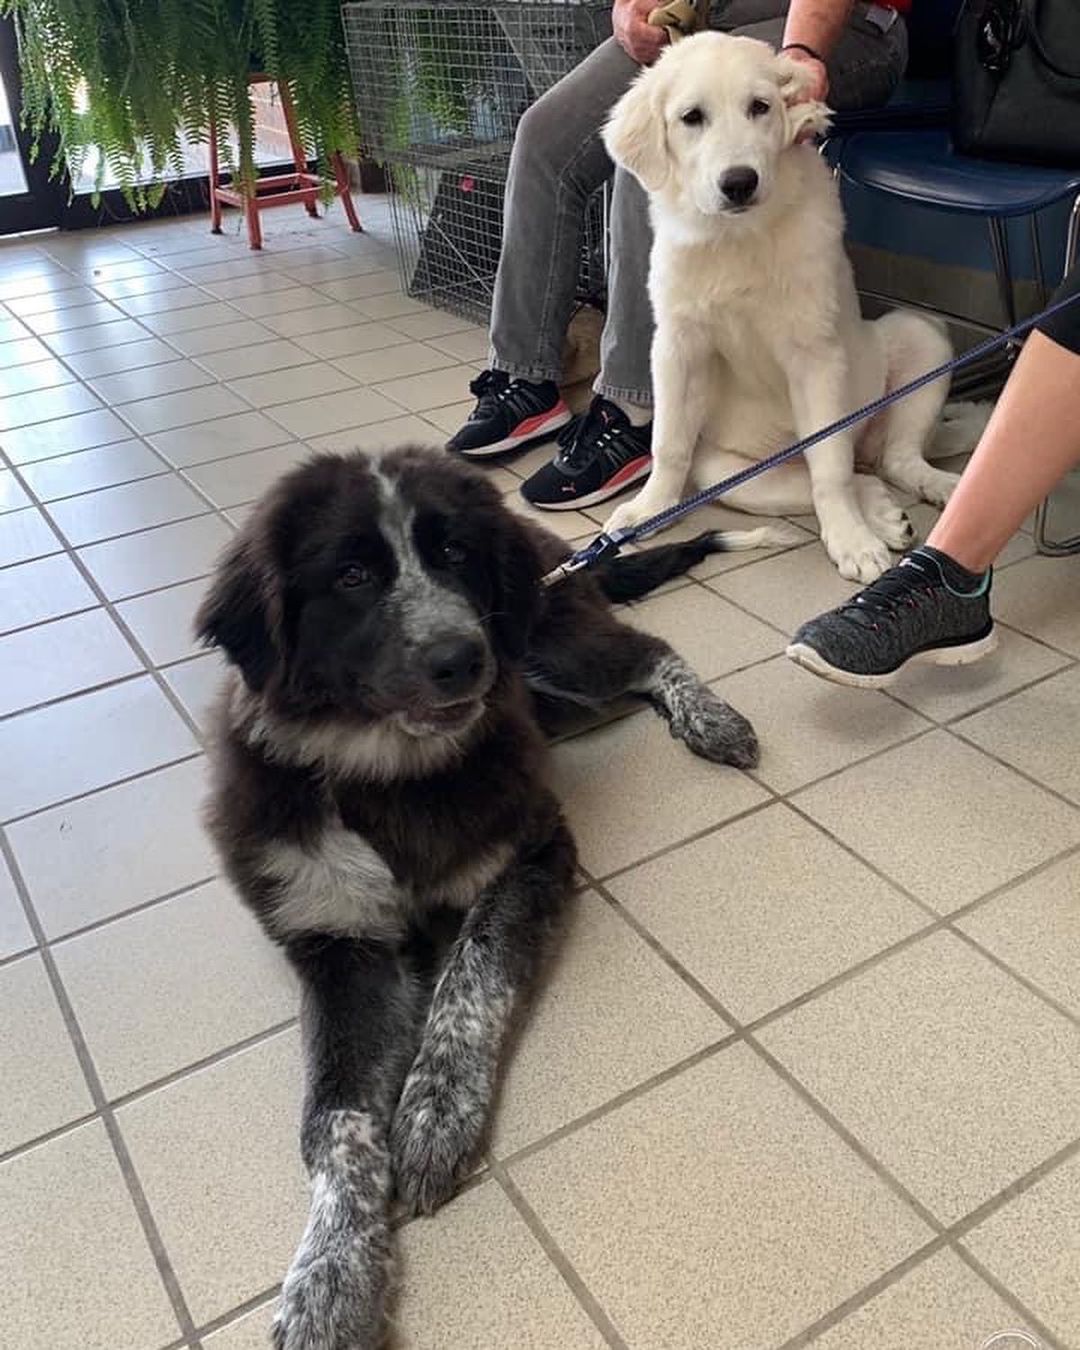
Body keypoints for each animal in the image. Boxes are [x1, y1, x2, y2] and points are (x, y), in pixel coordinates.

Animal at [198, 448, 761, 1344]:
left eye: (456, 555)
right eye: (351, 574)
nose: (460, 658)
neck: (389, 777)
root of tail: (559, 548)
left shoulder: (531, 851)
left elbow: (472, 978)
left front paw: (434, 1114)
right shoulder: (337, 940)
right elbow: (334, 1119)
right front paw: (327, 1278)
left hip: (548, 649)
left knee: (647, 651)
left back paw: (710, 718)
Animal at [602, 31, 966, 580]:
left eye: (760, 107)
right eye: (692, 117)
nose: (739, 182)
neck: (738, 238)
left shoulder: (815, 355)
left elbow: (829, 463)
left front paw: (850, 542)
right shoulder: (677, 346)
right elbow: (667, 442)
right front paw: (650, 508)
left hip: (920, 339)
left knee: (882, 460)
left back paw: (936, 490)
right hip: (728, 474)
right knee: (861, 475)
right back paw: (882, 513)